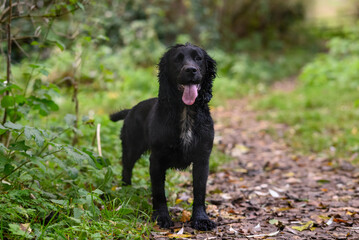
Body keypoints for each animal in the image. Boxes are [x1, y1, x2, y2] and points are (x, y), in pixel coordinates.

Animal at [109, 43, 217, 231]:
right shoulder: (157, 159)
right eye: (178, 59)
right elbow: (159, 192)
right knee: (126, 170)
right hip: (131, 148)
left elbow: (199, 191)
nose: (191, 70)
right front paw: (161, 217)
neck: (185, 113)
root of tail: (131, 110)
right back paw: (126, 190)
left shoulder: (202, 158)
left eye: (198, 58)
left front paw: (201, 219)